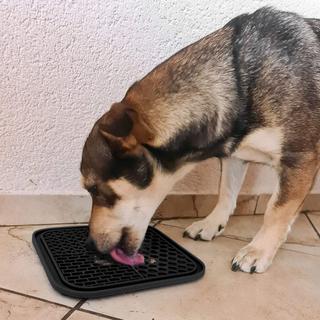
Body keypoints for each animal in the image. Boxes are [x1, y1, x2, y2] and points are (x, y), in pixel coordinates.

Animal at [80, 7, 320, 272]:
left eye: (95, 190)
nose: (90, 245)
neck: (241, 84)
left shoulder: (300, 161)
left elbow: (276, 210)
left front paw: (258, 251)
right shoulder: (235, 157)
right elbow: (226, 192)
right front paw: (211, 224)